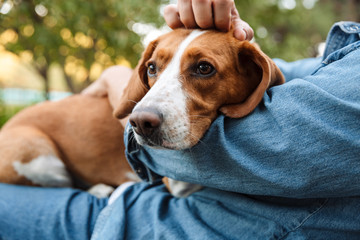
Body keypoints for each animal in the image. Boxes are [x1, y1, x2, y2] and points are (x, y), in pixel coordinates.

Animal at [0, 27, 284, 197]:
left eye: (204, 68)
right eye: (151, 68)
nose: (139, 122)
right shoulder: (177, 182)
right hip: (37, 154)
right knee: (67, 183)